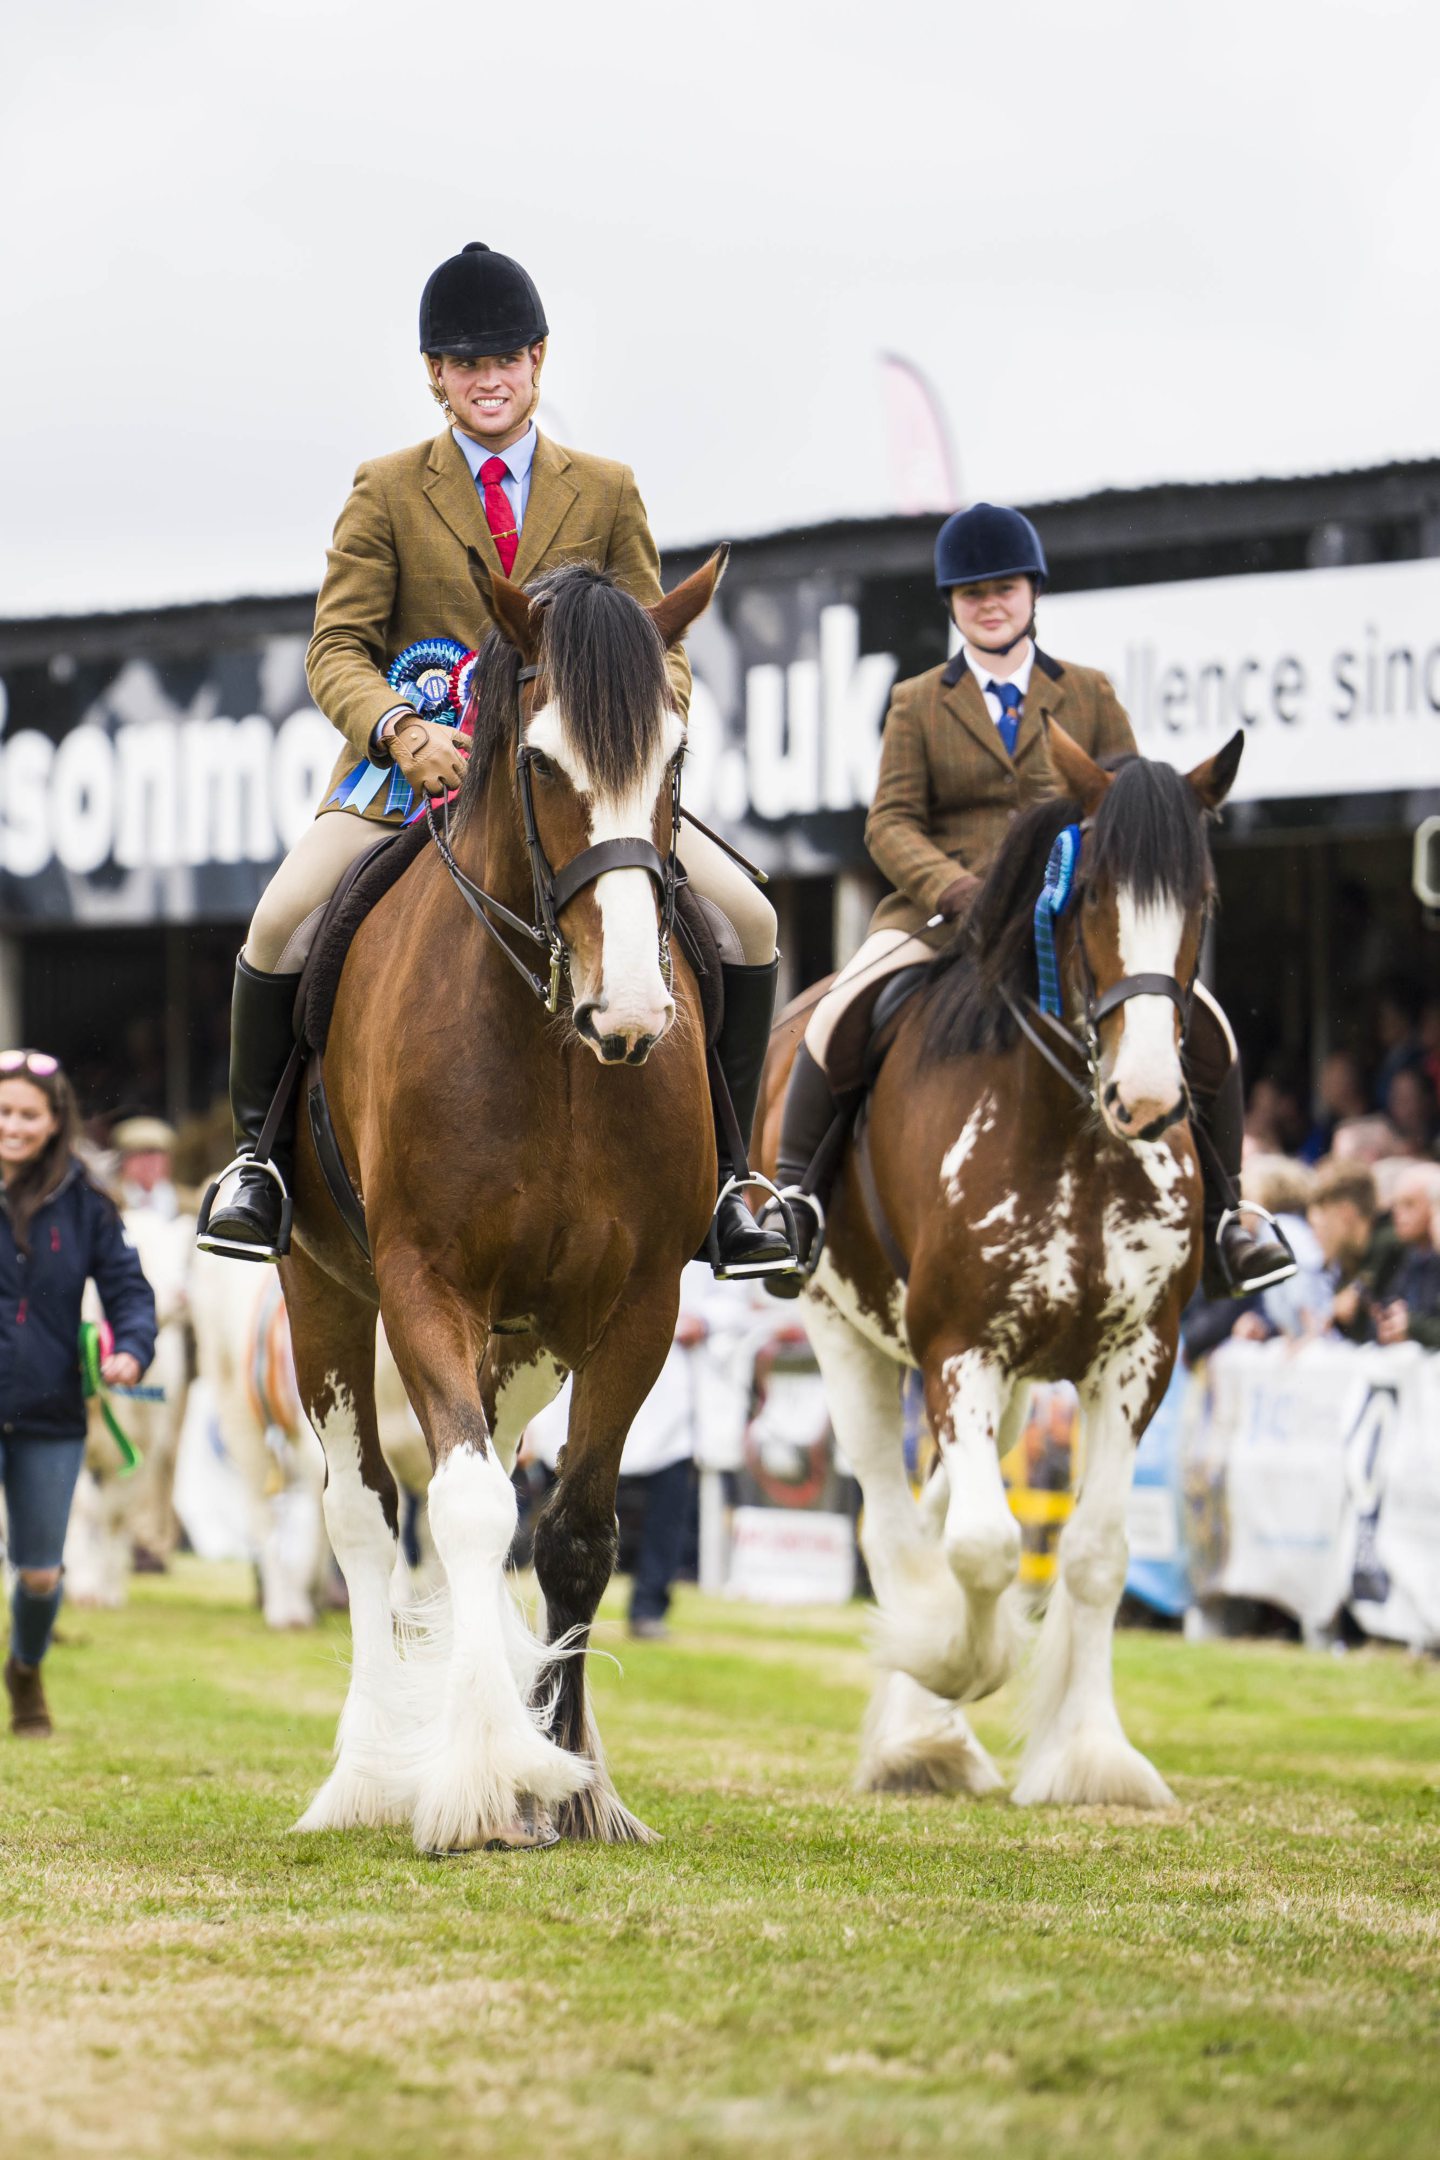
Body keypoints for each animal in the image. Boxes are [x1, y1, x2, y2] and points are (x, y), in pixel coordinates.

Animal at [284, 548, 725, 1848]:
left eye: (676, 757)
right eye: (540, 763)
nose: (631, 1012)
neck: (555, 1049)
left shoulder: (637, 1307)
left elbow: (573, 1533)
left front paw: (566, 1782)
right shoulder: (422, 1281)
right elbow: (474, 1510)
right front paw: (485, 1780)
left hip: (526, 1342)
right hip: (323, 1293)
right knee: (367, 1513)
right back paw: (368, 1773)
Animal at [759, 721, 1243, 1805]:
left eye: (1203, 897)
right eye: (1093, 891)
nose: (1150, 1098)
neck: (1075, 1129)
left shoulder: (1136, 1359)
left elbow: (1094, 1554)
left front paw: (1093, 1755)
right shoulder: (960, 1348)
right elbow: (983, 1547)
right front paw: (951, 1664)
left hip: (1019, 1385)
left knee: (936, 1510)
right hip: (846, 1339)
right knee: (895, 1525)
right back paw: (920, 1729)